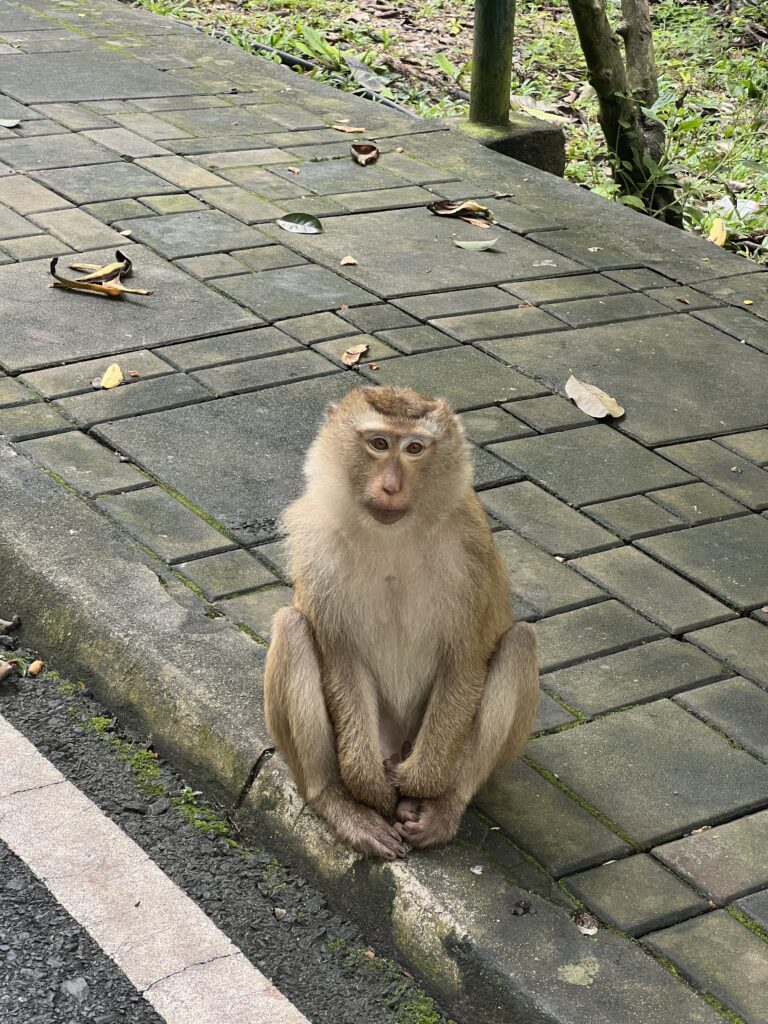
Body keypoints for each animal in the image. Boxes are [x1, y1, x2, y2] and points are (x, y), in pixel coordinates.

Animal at [263, 386, 538, 859]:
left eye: (414, 448)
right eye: (378, 443)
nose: (391, 486)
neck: (392, 533)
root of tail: (397, 744)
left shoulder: (472, 552)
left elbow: (464, 661)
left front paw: (420, 784)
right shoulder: (316, 546)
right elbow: (341, 659)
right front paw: (367, 786)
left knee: (519, 642)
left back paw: (443, 804)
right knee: (292, 627)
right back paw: (335, 801)